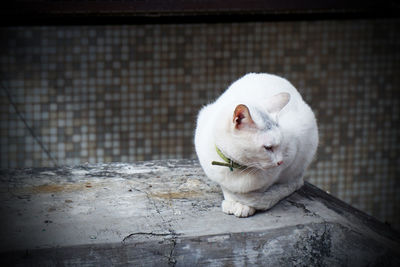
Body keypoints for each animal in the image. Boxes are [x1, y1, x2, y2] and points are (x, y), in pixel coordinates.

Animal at [195, 73, 318, 218]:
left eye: (280, 144)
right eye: (268, 148)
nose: (280, 162)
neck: (238, 167)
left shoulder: (291, 152)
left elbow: (259, 189)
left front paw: (246, 205)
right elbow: (228, 189)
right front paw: (232, 202)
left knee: (295, 181)